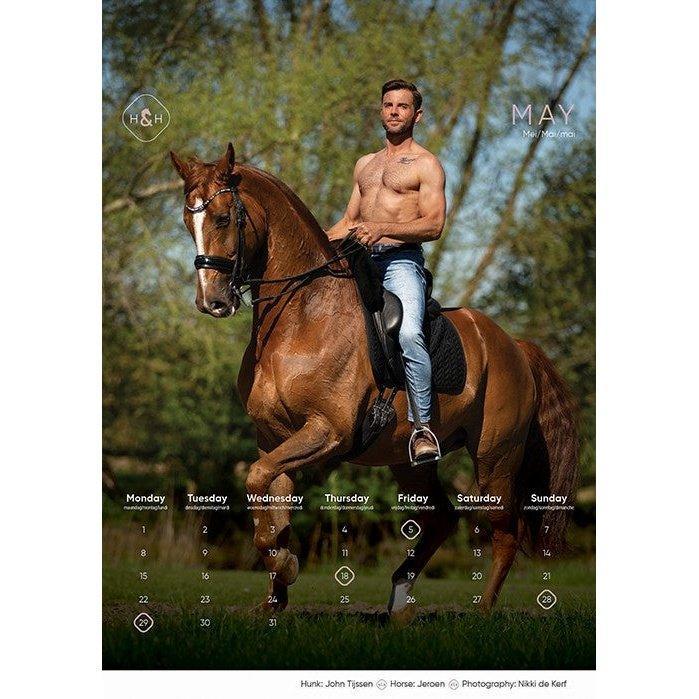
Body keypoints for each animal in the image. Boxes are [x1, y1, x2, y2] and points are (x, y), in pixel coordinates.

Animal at [170, 143, 578, 620]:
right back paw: (399, 602)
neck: (302, 317)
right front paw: (275, 597)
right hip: (408, 461)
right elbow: (270, 502)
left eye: (221, 218)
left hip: (495, 461)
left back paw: (481, 612)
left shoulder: (328, 431)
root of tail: (514, 345)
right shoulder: (273, 439)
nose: (211, 302)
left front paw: (285, 565)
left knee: (504, 534)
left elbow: (257, 485)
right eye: (187, 223)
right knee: (442, 518)